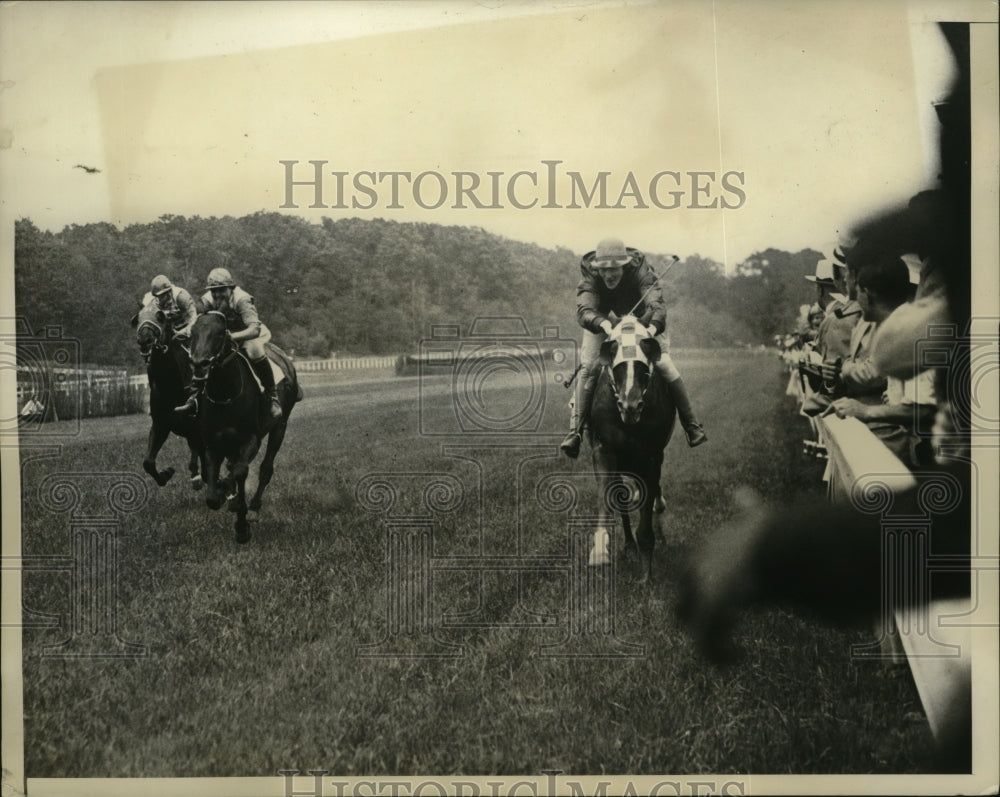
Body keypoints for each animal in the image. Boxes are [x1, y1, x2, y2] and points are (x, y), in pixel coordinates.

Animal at [133, 300, 203, 488]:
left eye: (160, 317)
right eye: (138, 318)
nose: (145, 340)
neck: (171, 385)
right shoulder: (161, 424)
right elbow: (148, 462)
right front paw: (166, 474)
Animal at [186, 310, 298, 540]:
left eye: (220, 333)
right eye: (192, 332)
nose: (200, 364)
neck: (225, 394)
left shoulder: (251, 439)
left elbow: (239, 472)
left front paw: (241, 524)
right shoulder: (213, 444)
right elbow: (213, 492)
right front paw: (224, 497)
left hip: (280, 426)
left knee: (265, 468)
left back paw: (253, 508)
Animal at [584, 314, 680, 580]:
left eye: (643, 366)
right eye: (615, 362)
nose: (631, 405)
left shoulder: (651, 456)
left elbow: (647, 500)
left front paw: (646, 573)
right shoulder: (604, 450)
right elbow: (608, 495)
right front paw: (600, 551)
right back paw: (627, 545)